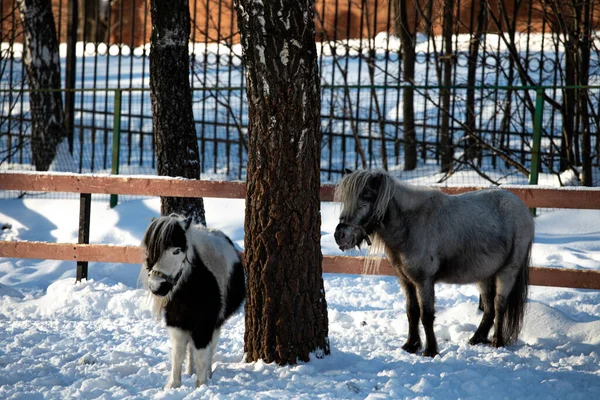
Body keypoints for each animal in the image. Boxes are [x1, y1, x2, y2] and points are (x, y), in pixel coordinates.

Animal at [139, 214, 245, 390]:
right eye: (150, 249)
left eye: (176, 251)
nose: (156, 287)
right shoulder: (176, 323)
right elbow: (177, 354)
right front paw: (173, 386)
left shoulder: (205, 325)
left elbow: (202, 354)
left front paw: (201, 386)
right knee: (191, 349)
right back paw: (190, 371)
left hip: (216, 324)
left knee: (210, 348)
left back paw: (208, 373)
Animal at [332, 169, 536, 356]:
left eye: (365, 200)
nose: (340, 235)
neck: (409, 225)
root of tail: (522, 208)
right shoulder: (406, 280)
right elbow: (412, 312)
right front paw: (411, 345)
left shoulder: (424, 281)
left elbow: (426, 315)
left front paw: (430, 350)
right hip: (485, 275)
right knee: (489, 308)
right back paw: (476, 339)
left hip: (507, 271)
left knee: (499, 305)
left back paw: (497, 342)